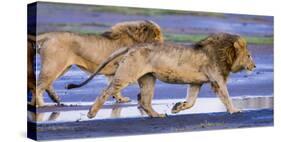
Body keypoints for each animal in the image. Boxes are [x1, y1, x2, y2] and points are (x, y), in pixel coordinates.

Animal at [27, 19, 163, 106]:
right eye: (156, 36)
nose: (163, 46)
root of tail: (49, 35)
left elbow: (115, 87)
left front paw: (121, 99)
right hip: (55, 65)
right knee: (39, 86)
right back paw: (41, 105)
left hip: (62, 67)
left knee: (46, 84)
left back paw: (55, 99)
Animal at [67, 32, 254, 118]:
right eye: (249, 55)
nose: (254, 65)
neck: (224, 53)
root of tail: (133, 46)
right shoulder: (217, 79)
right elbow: (226, 96)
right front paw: (235, 110)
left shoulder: (196, 82)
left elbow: (191, 101)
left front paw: (177, 107)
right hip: (128, 74)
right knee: (106, 91)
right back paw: (91, 113)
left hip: (148, 78)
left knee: (145, 101)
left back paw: (157, 115)